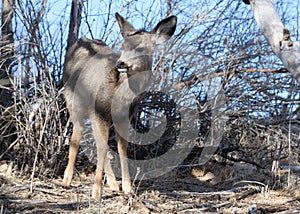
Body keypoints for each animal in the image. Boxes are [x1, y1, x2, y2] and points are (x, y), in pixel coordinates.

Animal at [61, 12, 177, 199]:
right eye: (123, 45)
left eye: (140, 48)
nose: (120, 63)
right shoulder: (100, 112)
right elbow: (103, 147)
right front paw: (96, 192)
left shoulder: (123, 117)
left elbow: (122, 149)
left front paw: (128, 188)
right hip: (73, 100)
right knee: (78, 134)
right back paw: (67, 180)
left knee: (98, 141)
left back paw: (113, 185)